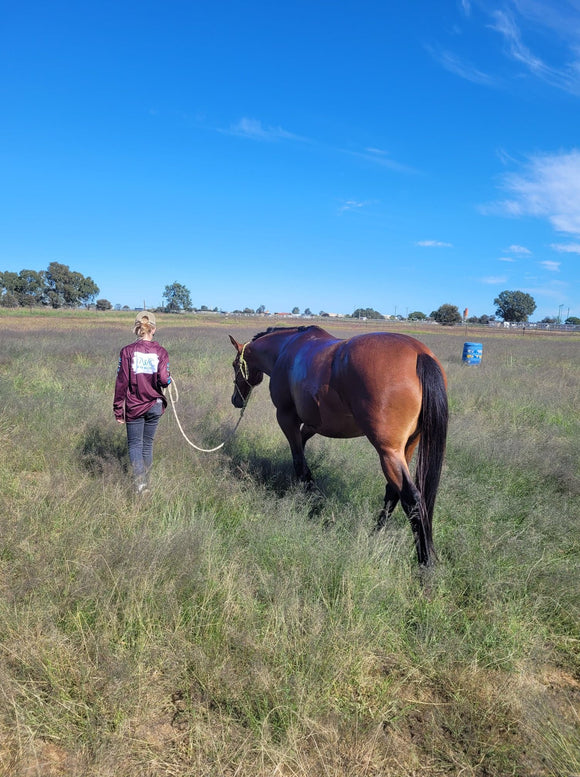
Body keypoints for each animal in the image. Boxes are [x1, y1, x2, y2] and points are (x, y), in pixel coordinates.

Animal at [229, 324, 446, 568]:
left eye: (234, 365)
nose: (235, 400)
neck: (286, 348)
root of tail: (420, 354)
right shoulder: (312, 424)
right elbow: (302, 450)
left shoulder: (286, 418)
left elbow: (300, 464)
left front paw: (311, 504)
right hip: (407, 447)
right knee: (393, 491)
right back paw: (375, 534)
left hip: (388, 453)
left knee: (412, 499)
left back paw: (425, 565)